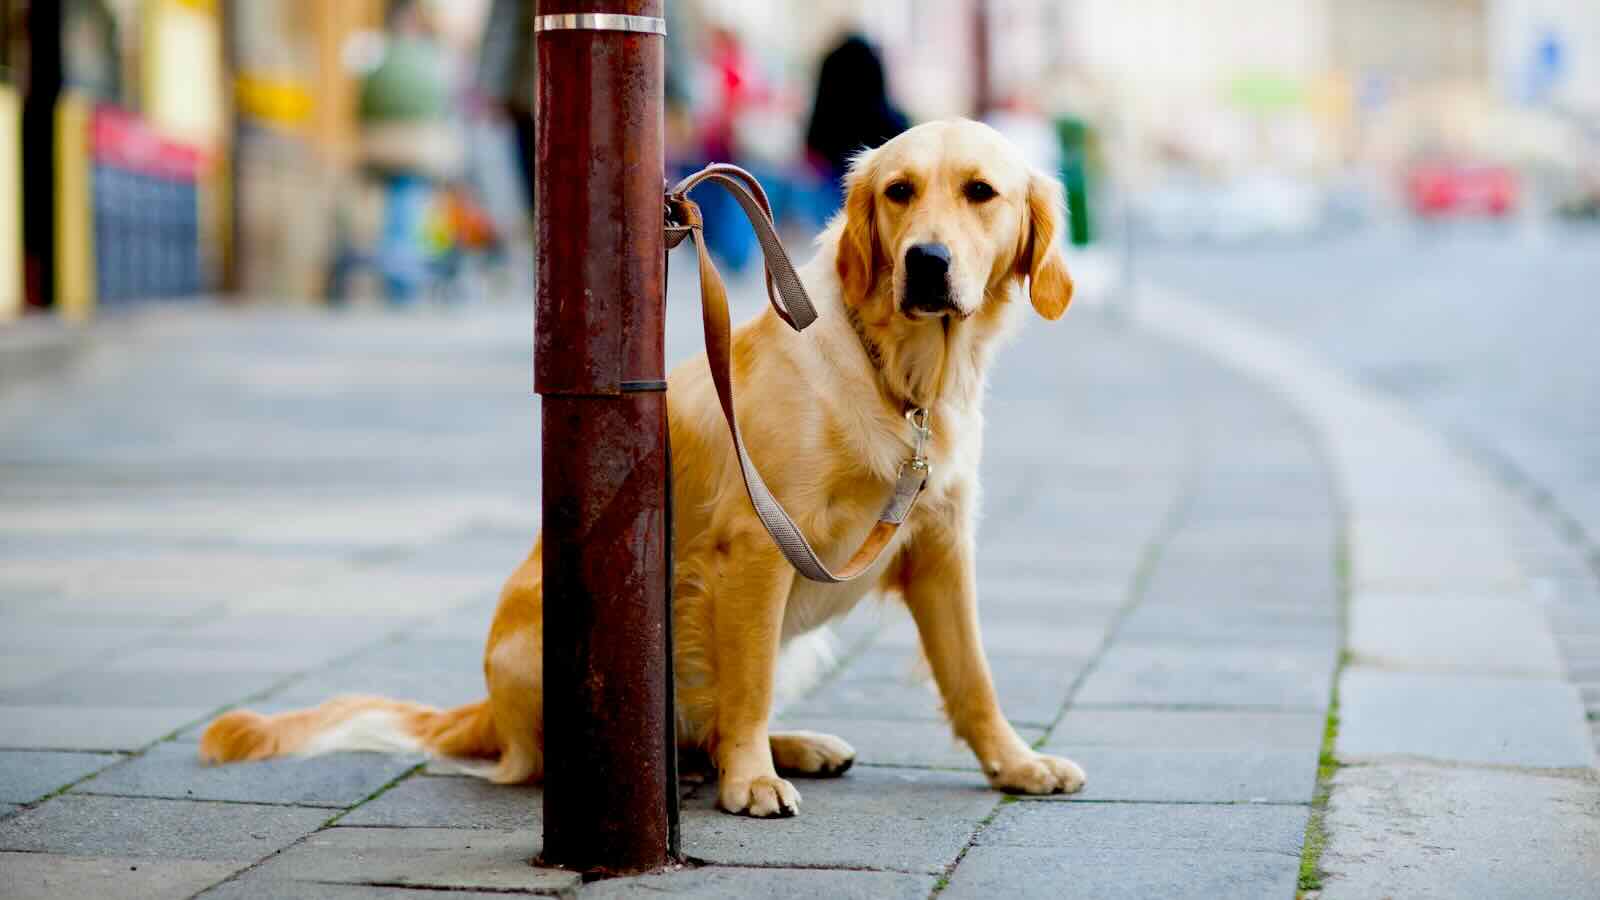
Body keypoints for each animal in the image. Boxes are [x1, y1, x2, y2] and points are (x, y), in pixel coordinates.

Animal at [193, 119, 1081, 813]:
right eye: (899, 191)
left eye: (980, 192)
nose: (926, 261)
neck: (902, 375)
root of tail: (483, 710)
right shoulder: (758, 546)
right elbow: (749, 685)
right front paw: (751, 782)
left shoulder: (940, 547)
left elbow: (973, 677)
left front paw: (1015, 762)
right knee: (628, 742)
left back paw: (795, 745)